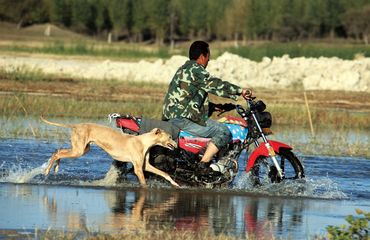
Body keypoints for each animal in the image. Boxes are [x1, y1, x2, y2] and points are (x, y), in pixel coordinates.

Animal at [40, 116, 179, 188]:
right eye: (170, 137)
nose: (177, 145)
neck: (143, 142)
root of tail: (76, 126)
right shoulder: (138, 169)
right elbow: (143, 182)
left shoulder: (145, 165)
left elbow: (164, 173)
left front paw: (176, 184)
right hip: (78, 151)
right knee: (57, 153)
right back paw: (47, 171)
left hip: (82, 149)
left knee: (58, 151)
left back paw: (55, 168)